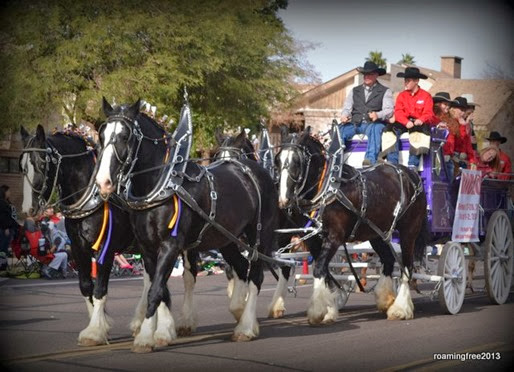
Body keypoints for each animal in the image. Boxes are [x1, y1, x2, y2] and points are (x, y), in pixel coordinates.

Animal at [19, 125, 147, 346]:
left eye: (41, 162)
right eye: (22, 166)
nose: (28, 209)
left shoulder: (106, 247)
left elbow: (100, 289)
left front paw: (95, 331)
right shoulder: (79, 248)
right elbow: (86, 286)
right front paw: (99, 326)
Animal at [94, 99, 278, 352]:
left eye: (125, 135)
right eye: (102, 134)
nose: (103, 182)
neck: (162, 185)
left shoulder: (170, 245)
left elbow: (155, 290)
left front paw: (145, 337)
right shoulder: (148, 248)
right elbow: (159, 288)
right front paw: (157, 332)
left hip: (259, 237)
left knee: (256, 277)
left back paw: (246, 327)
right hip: (227, 239)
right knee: (241, 268)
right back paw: (239, 312)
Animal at [274, 126, 426, 324]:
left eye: (297, 162)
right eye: (277, 161)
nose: (283, 201)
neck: (327, 187)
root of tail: (412, 175)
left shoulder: (335, 236)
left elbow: (319, 269)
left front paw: (317, 311)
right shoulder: (314, 240)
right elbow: (325, 271)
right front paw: (330, 309)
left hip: (409, 231)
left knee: (407, 267)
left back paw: (400, 309)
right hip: (377, 233)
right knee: (388, 260)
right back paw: (385, 300)